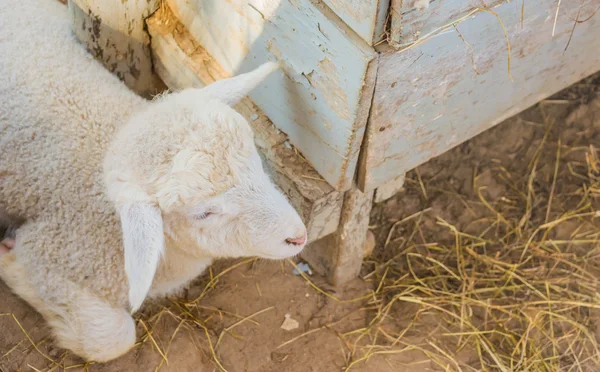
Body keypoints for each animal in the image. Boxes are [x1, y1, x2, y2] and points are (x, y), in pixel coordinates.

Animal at [0, 0, 308, 364]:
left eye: (256, 162)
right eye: (203, 213)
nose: (298, 237)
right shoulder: (51, 252)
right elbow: (112, 338)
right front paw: (7, 262)